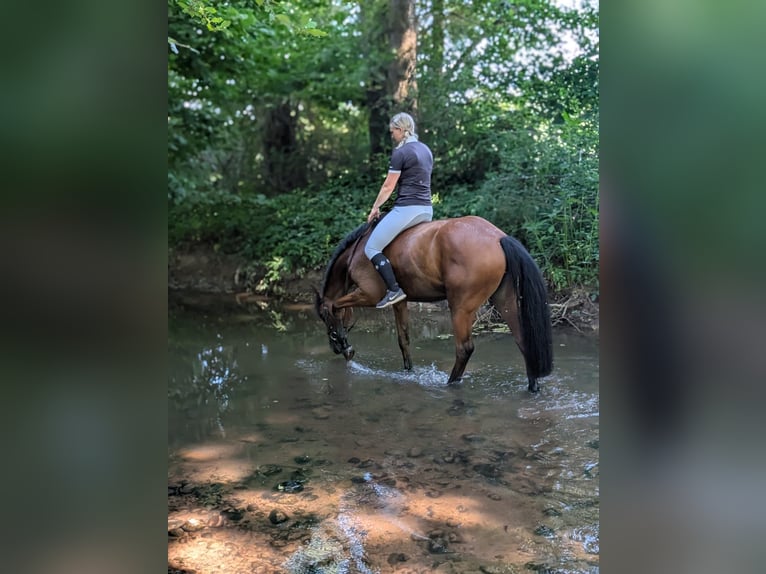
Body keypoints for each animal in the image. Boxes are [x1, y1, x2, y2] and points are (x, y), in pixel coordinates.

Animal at [314, 215, 553, 391]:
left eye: (323, 318)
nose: (335, 348)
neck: (355, 254)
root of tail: (498, 237)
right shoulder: (400, 302)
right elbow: (403, 339)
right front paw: (408, 372)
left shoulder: (371, 295)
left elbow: (335, 305)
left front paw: (346, 346)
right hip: (505, 300)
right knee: (523, 340)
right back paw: (532, 387)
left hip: (460, 307)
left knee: (464, 348)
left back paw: (449, 384)